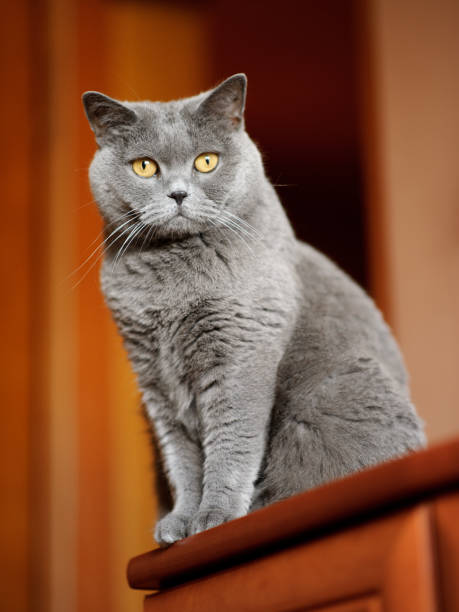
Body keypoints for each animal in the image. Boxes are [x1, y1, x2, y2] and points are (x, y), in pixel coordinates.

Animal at [83, 73, 428, 544]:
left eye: (206, 161)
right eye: (145, 167)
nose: (178, 193)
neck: (166, 287)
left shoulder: (241, 352)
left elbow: (232, 439)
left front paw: (215, 517)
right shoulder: (153, 375)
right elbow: (181, 457)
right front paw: (180, 522)